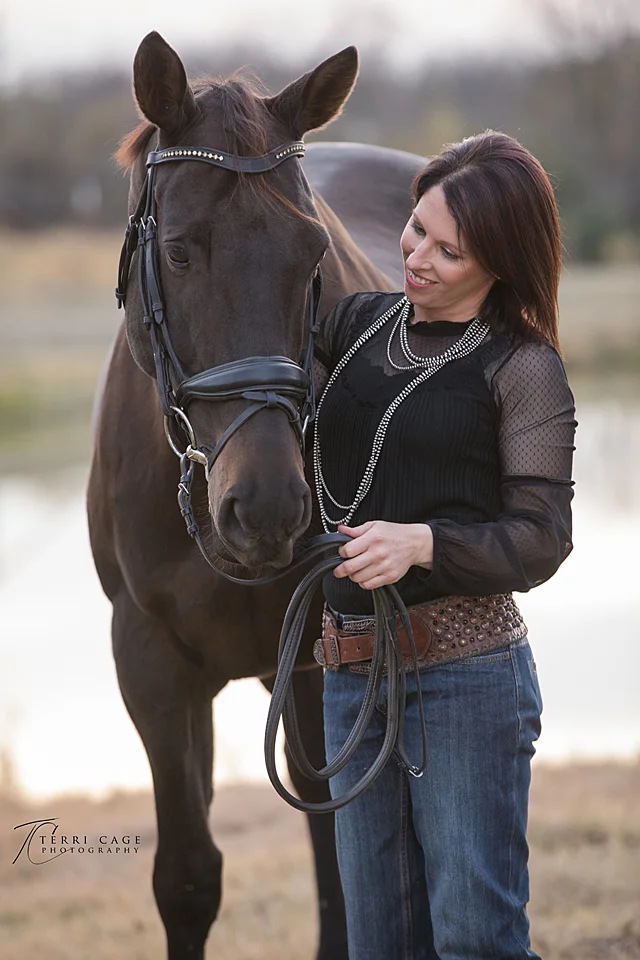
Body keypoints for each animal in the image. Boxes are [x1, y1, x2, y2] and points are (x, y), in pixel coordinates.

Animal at [87, 30, 424, 960]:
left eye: (312, 256)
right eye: (178, 250)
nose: (267, 506)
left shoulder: (322, 657)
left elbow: (341, 861)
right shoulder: (150, 664)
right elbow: (188, 876)